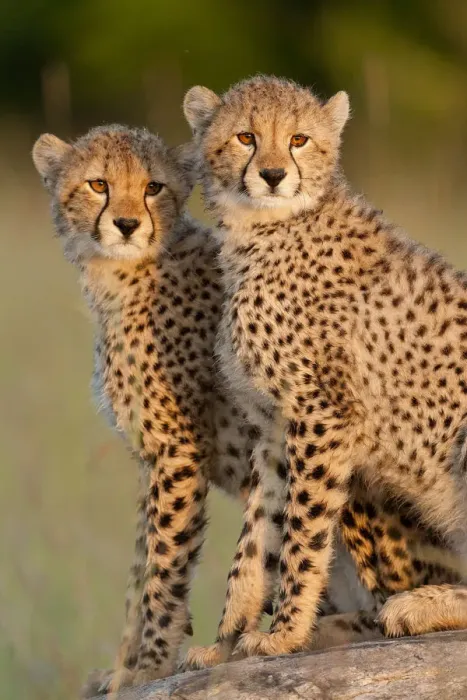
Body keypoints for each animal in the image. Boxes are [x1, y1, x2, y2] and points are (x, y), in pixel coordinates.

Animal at [182, 74, 467, 665]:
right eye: (246, 137)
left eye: (299, 139)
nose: (272, 175)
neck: (261, 230)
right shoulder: (274, 427)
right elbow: (256, 540)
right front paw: (224, 642)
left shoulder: (322, 417)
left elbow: (303, 535)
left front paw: (285, 632)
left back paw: (415, 606)